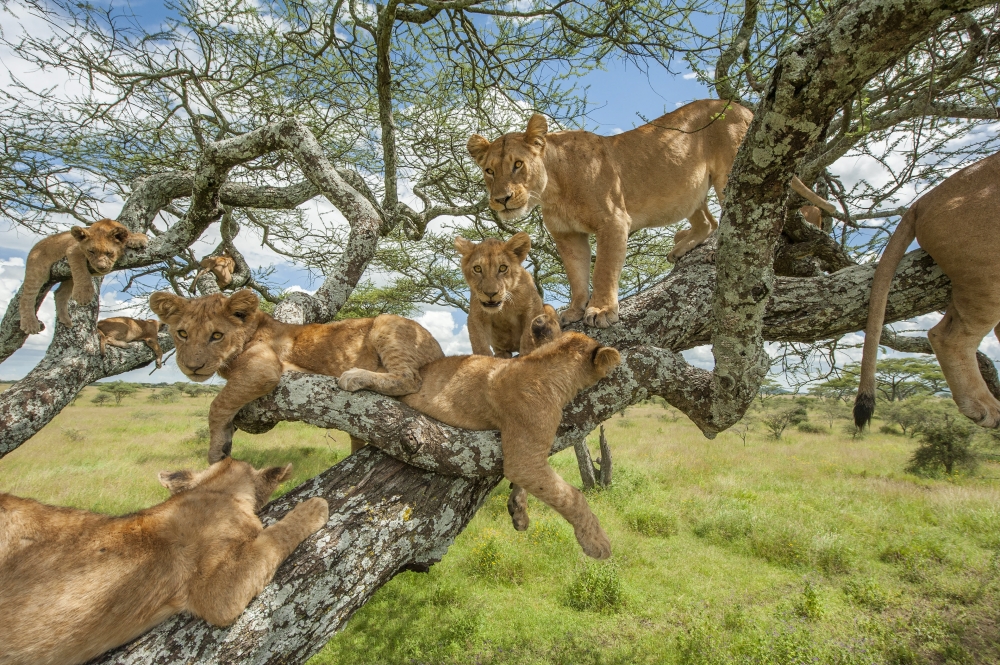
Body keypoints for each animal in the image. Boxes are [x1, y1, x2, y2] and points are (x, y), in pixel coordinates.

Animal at [19, 219, 148, 335]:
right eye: (91, 251)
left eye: (109, 253)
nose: (101, 267)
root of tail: (36, 245)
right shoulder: (73, 250)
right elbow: (80, 271)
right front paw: (83, 295)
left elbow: (130, 234)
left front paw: (137, 238)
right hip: (37, 271)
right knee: (26, 297)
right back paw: (30, 324)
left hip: (68, 278)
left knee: (59, 293)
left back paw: (65, 320)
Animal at [149, 289, 444, 462]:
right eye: (182, 333)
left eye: (217, 336)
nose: (192, 367)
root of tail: (439, 348)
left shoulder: (264, 369)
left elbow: (218, 404)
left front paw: (216, 451)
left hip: (386, 321)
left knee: (409, 378)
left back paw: (354, 376)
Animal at [343, 322, 621, 559]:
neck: (544, 363)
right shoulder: (524, 457)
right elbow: (570, 496)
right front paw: (597, 542)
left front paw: (519, 509)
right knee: (399, 379)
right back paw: (353, 376)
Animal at [467, 100, 835, 327]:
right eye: (489, 170)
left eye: (518, 164)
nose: (501, 199)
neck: (553, 189)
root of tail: (739, 106)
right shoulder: (567, 235)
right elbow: (576, 274)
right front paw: (575, 308)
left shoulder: (613, 221)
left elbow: (604, 270)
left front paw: (601, 310)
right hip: (690, 190)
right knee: (709, 221)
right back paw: (683, 246)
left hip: (735, 171)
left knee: (741, 217)